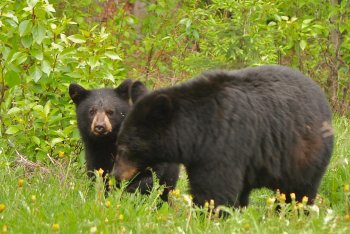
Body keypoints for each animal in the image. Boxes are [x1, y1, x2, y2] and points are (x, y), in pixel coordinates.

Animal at [111, 65, 334, 208]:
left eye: (124, 148)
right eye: (118, 145)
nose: (115, 175)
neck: (195, 132)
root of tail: (322, 97)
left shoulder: (223, 143)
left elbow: (214, 188)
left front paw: (208, 215)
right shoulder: (200, 157)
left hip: (302, 154)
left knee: (297, 191)